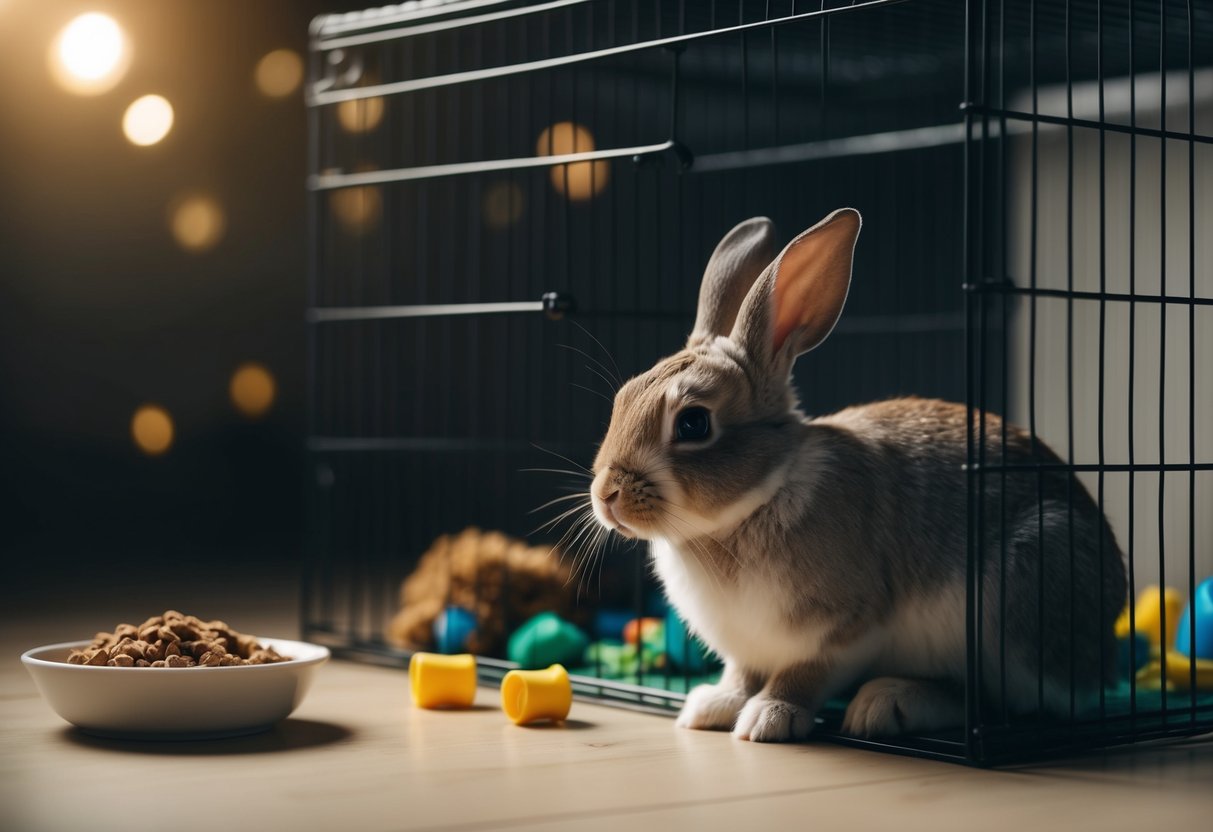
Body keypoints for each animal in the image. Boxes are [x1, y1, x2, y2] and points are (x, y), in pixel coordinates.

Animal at [588, 208, 1128, 742]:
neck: (755, 501)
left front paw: (768, 719)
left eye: (693, 423)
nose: (606, 495)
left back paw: (887, 704)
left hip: (1018, 600)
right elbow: (741, 675)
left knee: (1000, 706)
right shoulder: (749, 649)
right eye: (623, 398)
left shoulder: (847, 627)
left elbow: (804, 673)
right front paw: (712, 706)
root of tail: (1102, 656)